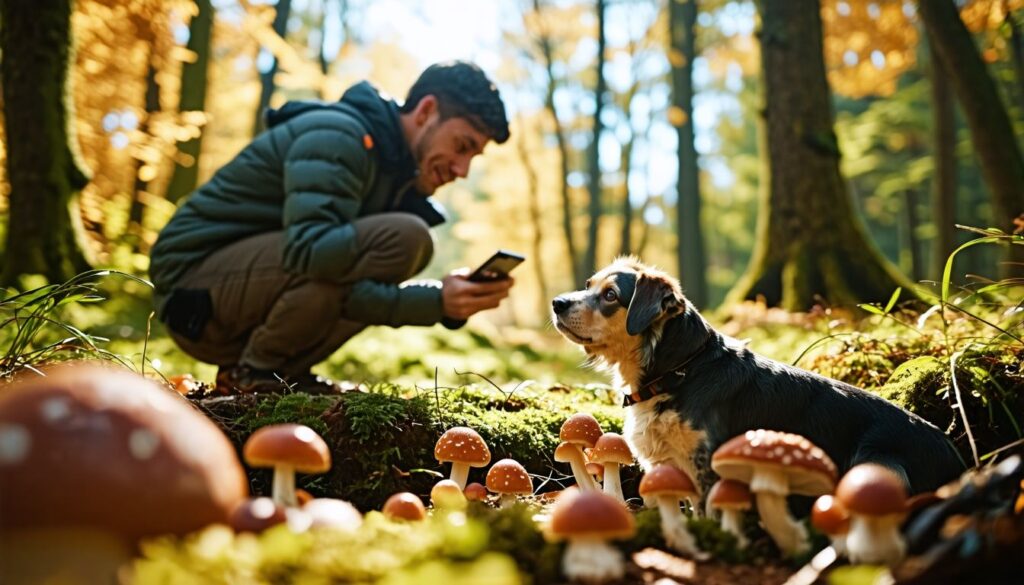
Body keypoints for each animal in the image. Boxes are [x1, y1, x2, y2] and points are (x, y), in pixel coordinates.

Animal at [552, 258, 958, 502]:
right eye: (588, 284)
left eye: (610, 295)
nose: (557, 302)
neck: (679, 371)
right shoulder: (666, 465)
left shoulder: (706, 464)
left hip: (876, 463)